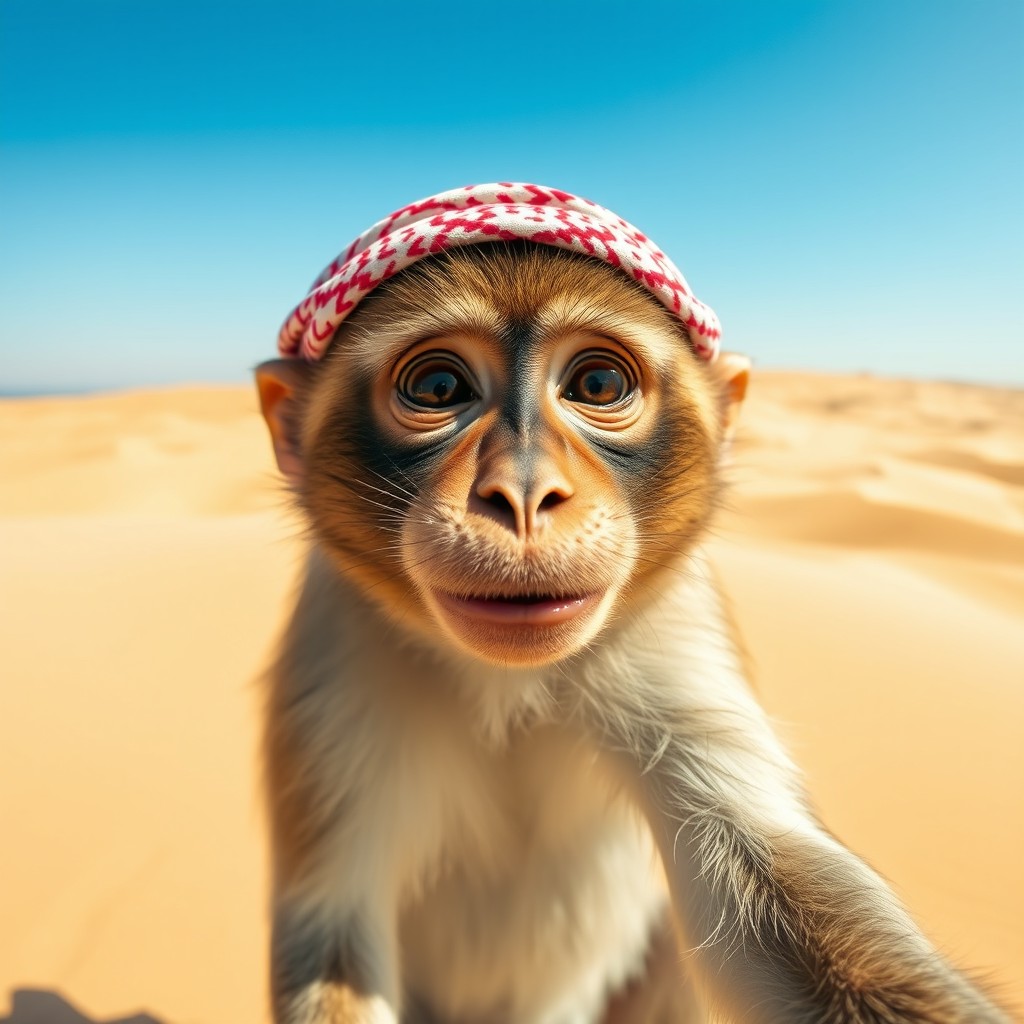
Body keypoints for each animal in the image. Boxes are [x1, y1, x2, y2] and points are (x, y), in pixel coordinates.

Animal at [254, 185, 1009, 1024]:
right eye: (439, 389)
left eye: (597, 386)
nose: (524, 495)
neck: (507, 684)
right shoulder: (335, 648)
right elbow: (332, 929)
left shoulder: (673, 627)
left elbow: (768, 887)